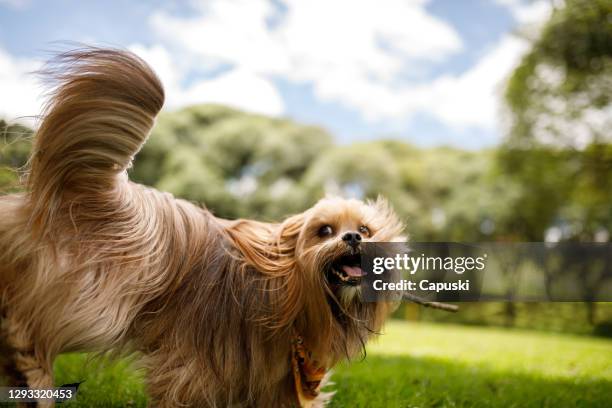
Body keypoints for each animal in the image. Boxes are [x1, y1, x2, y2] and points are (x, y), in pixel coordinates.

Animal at [1, 47, 406, 404]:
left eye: (365, 230)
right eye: (324, 231)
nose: (352, 238)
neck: (292, 288)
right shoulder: (199, 358)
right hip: (99, 291)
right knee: (37, 324)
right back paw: (28, 366)